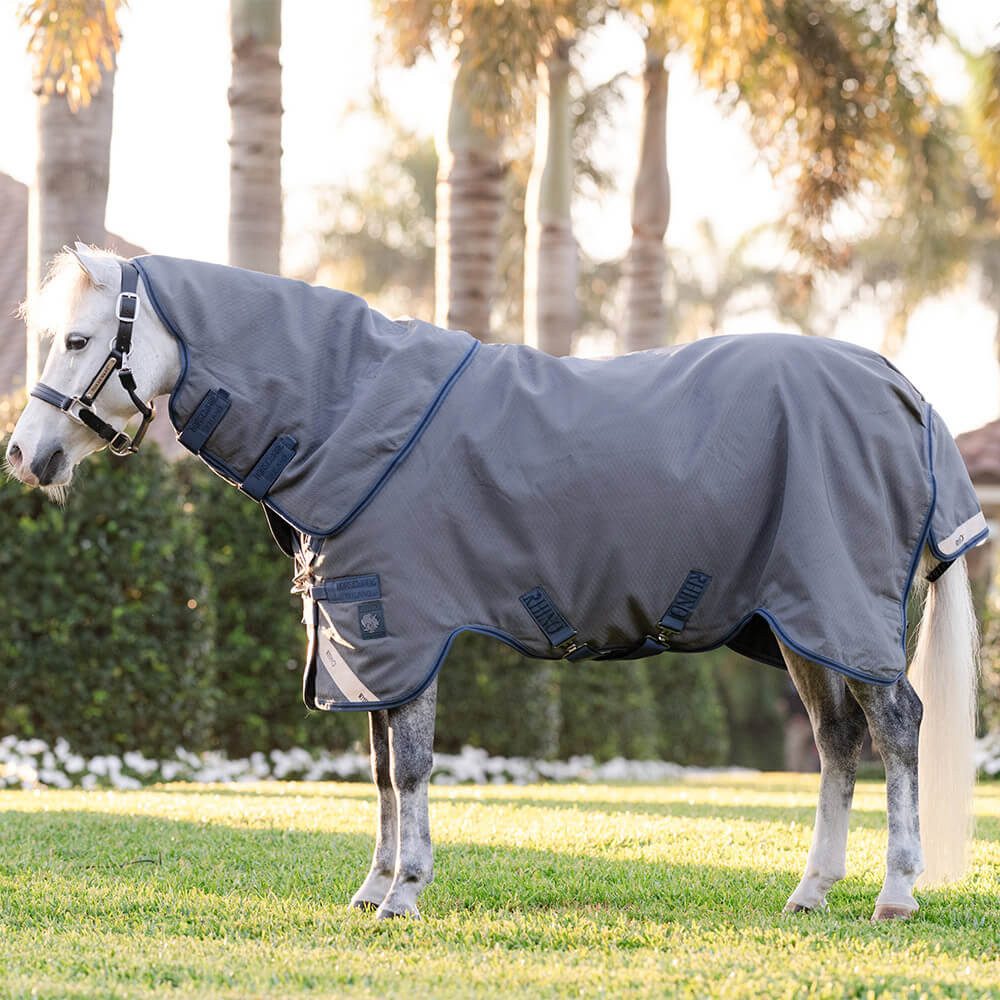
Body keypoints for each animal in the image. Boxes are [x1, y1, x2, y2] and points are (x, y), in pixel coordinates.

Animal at [6, 245, 983, 923]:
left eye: (80, 339)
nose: (24, 454)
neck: (347, 414)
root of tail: (901, 387)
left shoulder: (401, 627)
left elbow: (409, 767)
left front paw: (405, 894)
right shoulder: (368, 641)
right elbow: (380, 772)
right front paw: (373, 890)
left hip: (842, 607)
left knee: (897, 728)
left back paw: (897, 893)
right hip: (799, 621)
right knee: (837, 742)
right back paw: (811, 892)